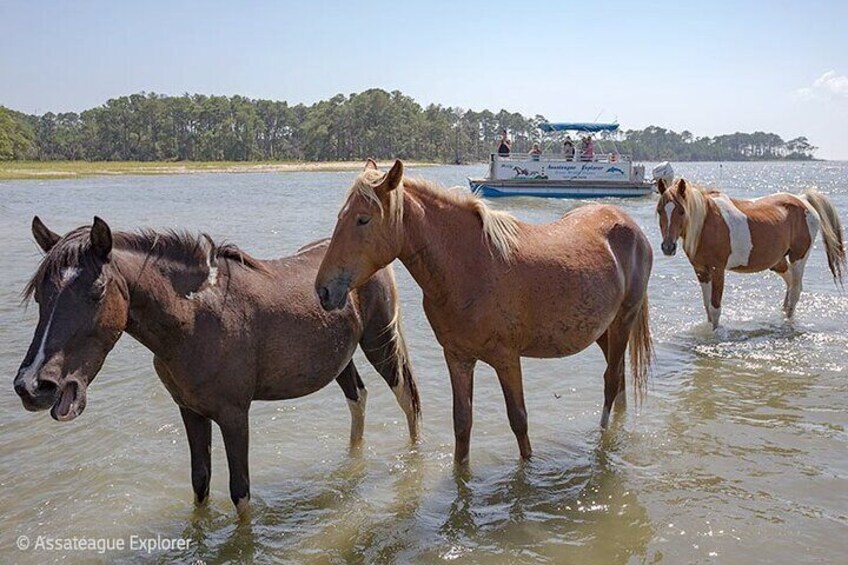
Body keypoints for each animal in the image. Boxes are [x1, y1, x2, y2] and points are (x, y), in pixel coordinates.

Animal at [11, 216, 422, 516]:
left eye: (96, 291)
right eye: (41, 294)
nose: (33, 386)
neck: (195, 320)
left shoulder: (234, 415)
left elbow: (240, 492)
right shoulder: (190, 411)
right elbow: (200, 483)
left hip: (379, 344)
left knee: (408, 400)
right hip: (340, 358)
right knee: (358, 398)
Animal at [314, 159, 652, 462]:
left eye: (363, 219)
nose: (323, 290)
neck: (472, 267)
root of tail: (629, 224)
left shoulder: (506, 359)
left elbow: (519, 421)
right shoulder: (458, 358)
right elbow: (462, 424)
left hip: (623, 321)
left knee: (611, 382)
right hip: (603, 330)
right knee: (618, 380)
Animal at [656, 176, 840, 326]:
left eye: (681, 211)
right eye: (659, 211)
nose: (668, 247)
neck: (706, 223)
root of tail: (803, 199)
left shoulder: (717, 271)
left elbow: (715, 309)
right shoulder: (701, 271)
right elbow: (707, 307)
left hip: (799, 257)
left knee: (795, 290)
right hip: (777, 261)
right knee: (790, 283)